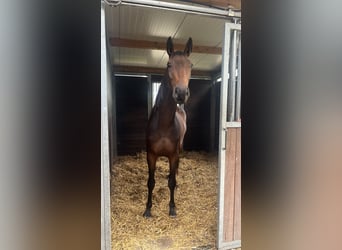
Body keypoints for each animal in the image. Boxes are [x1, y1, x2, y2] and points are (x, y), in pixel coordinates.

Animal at [142, 36, 192, 218]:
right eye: (169, 64)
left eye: (190, 65)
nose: (181, 93)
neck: (163, 125)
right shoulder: (151, 155)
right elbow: (150, 182)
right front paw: (148, 209)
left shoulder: (173, 155)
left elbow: (171, 182)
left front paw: (172, 208)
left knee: (175, 172)